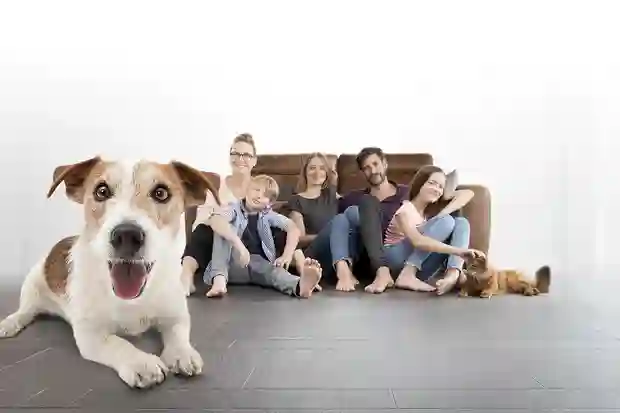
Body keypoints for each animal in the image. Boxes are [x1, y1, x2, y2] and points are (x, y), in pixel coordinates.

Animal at [0, 156, 220, 388]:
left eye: (161, 193)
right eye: (102, 191)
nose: (127, 235)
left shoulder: (176, 314)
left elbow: (178, 332)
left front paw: (181, 353)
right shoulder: (91, 334)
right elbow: (118, 343)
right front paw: (142, 362)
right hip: (31, 285)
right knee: (26, 310)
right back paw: (11, 323)